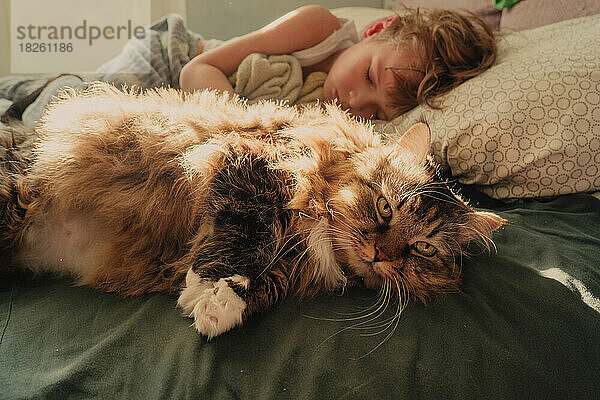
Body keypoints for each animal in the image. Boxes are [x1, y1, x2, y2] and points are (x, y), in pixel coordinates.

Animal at [0, 83, 506, 338]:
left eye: (422, 249)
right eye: (385, 208)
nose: (382, 255)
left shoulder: (288, 259)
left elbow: (264, 278)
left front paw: (221, 306)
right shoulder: (245, 163)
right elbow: (247, 234)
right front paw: (209, 286)